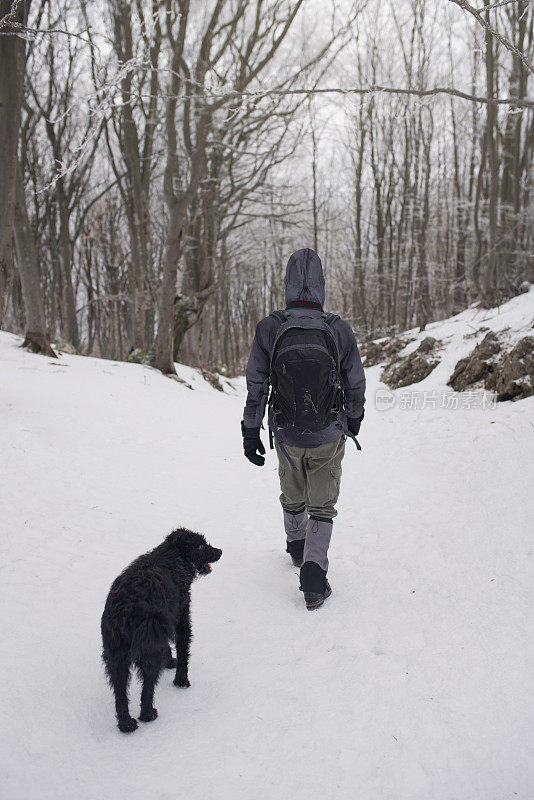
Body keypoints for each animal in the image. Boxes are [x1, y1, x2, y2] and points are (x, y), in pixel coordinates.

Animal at [101, 528, 223, 736]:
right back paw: (148, 714)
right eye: (200, 545)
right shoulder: (181, 617)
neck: (172, 557)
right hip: (148, 652)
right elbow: (183, 650)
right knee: (147, 688)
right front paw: (181, 680)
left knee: (120, 694)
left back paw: (126, 724)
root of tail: (125, 610)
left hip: (116, 657)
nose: (220, 551)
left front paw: (170, 662)